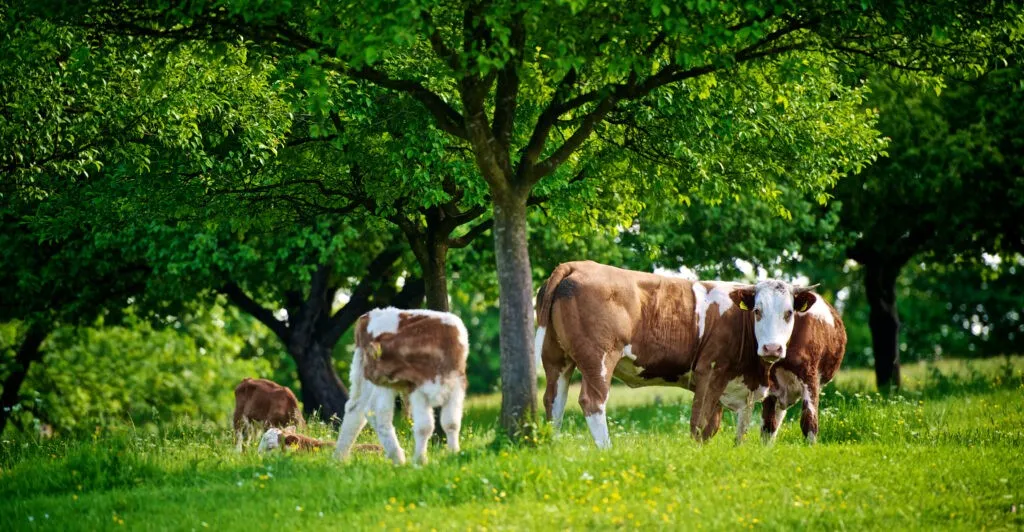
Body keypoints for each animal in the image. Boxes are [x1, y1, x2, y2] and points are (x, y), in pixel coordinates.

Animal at [333, 307, 468, 465]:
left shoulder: (457, 385)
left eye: (373, 361)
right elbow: (425, 427)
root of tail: (368, 315)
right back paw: (397, 456)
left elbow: (451, 423)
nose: (368, 373)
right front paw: (420, 460)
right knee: (376, 412)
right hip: (380, 385)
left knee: (356, 409)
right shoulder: (416, 388)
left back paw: (339, 457)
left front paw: (454, 453)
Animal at [534, 261, 843, 448]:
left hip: (557, 358)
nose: (772, 348)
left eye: (789, 312)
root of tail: (577, 265)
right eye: (757, 310)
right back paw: (606, 450)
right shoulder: (709, 370)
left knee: (554, 401)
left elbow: (724, 426)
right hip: (599, 358)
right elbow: (700, 421)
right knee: (592, 401)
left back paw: (553, 447)